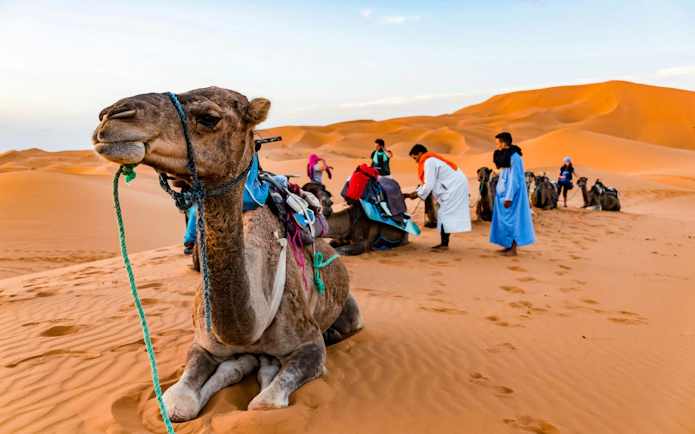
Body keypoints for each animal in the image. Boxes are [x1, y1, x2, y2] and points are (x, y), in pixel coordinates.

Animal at [92, 87, 363, 422]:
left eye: (210, 118)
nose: (110, 116)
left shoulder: (309, 344)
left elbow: (264, 403)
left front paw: (266, 371)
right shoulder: (202, 343)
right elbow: (177, 404)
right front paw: (242, 365)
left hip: (351, 312)